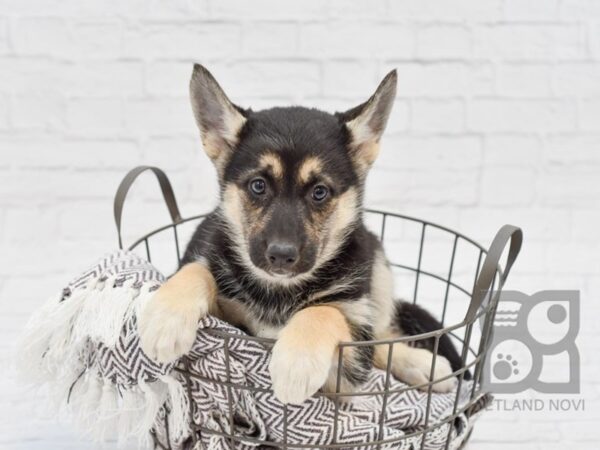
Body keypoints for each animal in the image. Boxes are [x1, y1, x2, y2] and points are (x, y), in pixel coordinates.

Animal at [137, 64, 464, 404]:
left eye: (319, 192)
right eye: (258, 185)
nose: (281, 255)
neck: (279, 292)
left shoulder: (348, 366)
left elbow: (323, 311)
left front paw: (296, 362)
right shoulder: (226, 325)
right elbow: (197, 271)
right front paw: (165, 317)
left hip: (378, 268)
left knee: (380, 337)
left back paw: (421, 363)